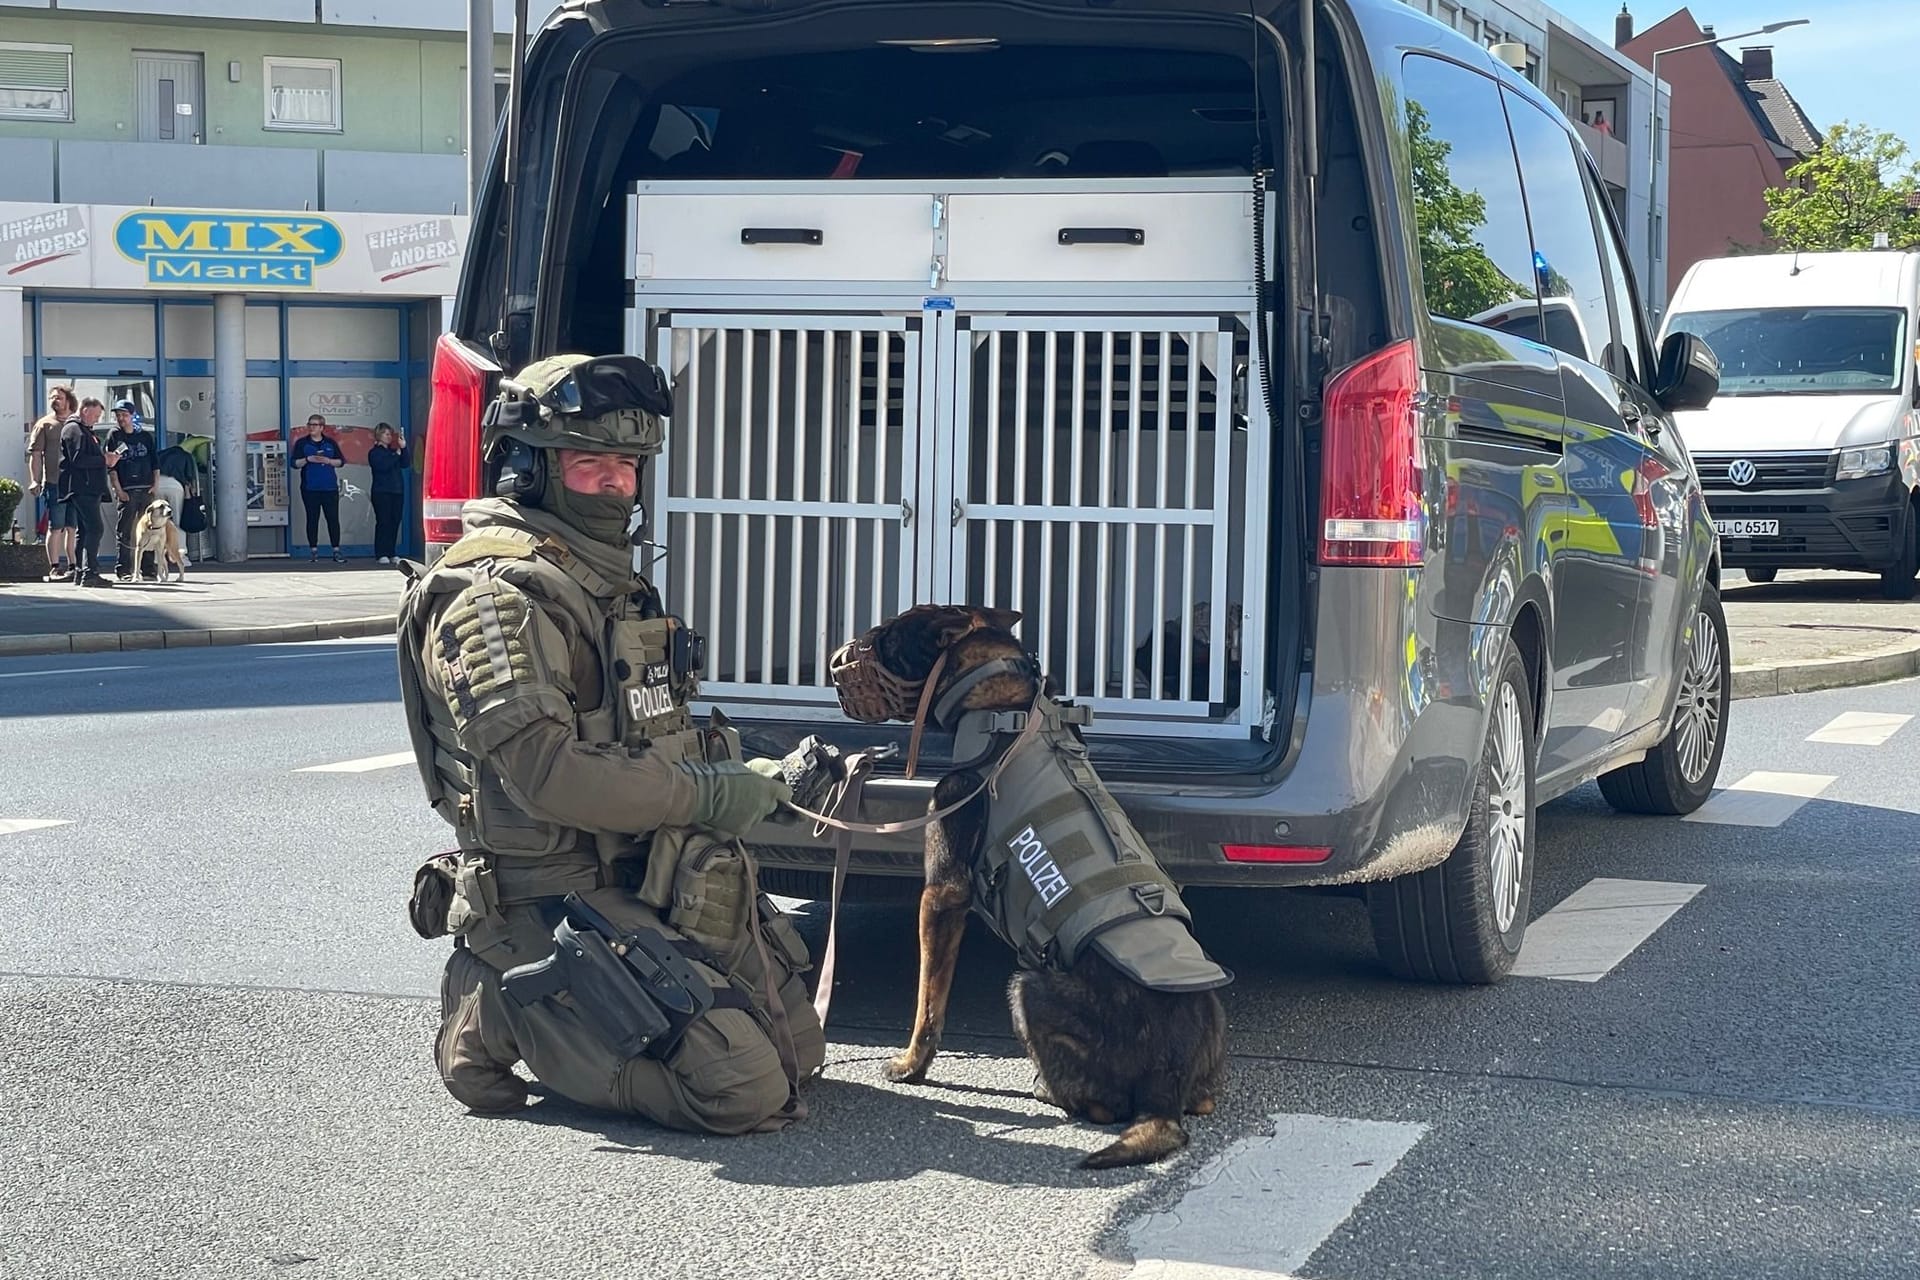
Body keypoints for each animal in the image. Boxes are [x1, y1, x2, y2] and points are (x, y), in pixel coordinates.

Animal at [860, 610, 1228, 1174]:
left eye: (888, 637)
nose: (843, 654)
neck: (1000, 706)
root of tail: (1163, 1088)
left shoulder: (941, 895)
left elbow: (928, 1004)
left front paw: (909, 1066)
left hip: (1027, 988)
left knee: (1100, 1105)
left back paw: (1047, 1090)